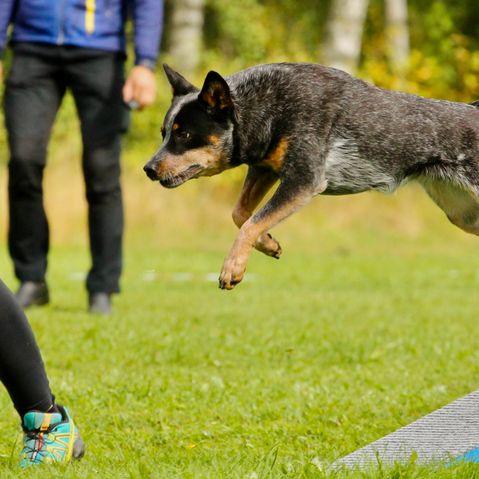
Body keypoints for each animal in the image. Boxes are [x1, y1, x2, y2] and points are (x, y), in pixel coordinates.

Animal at [144, 62, 479, 290]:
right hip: (462, 215)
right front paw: (268, 244)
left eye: (184, 134)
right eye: (163, 133)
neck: (267, 106)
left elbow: (250, 222)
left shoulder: (303, 180)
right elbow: (241, 215)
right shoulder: (265, 168)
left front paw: (233, 268)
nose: (148, 168)